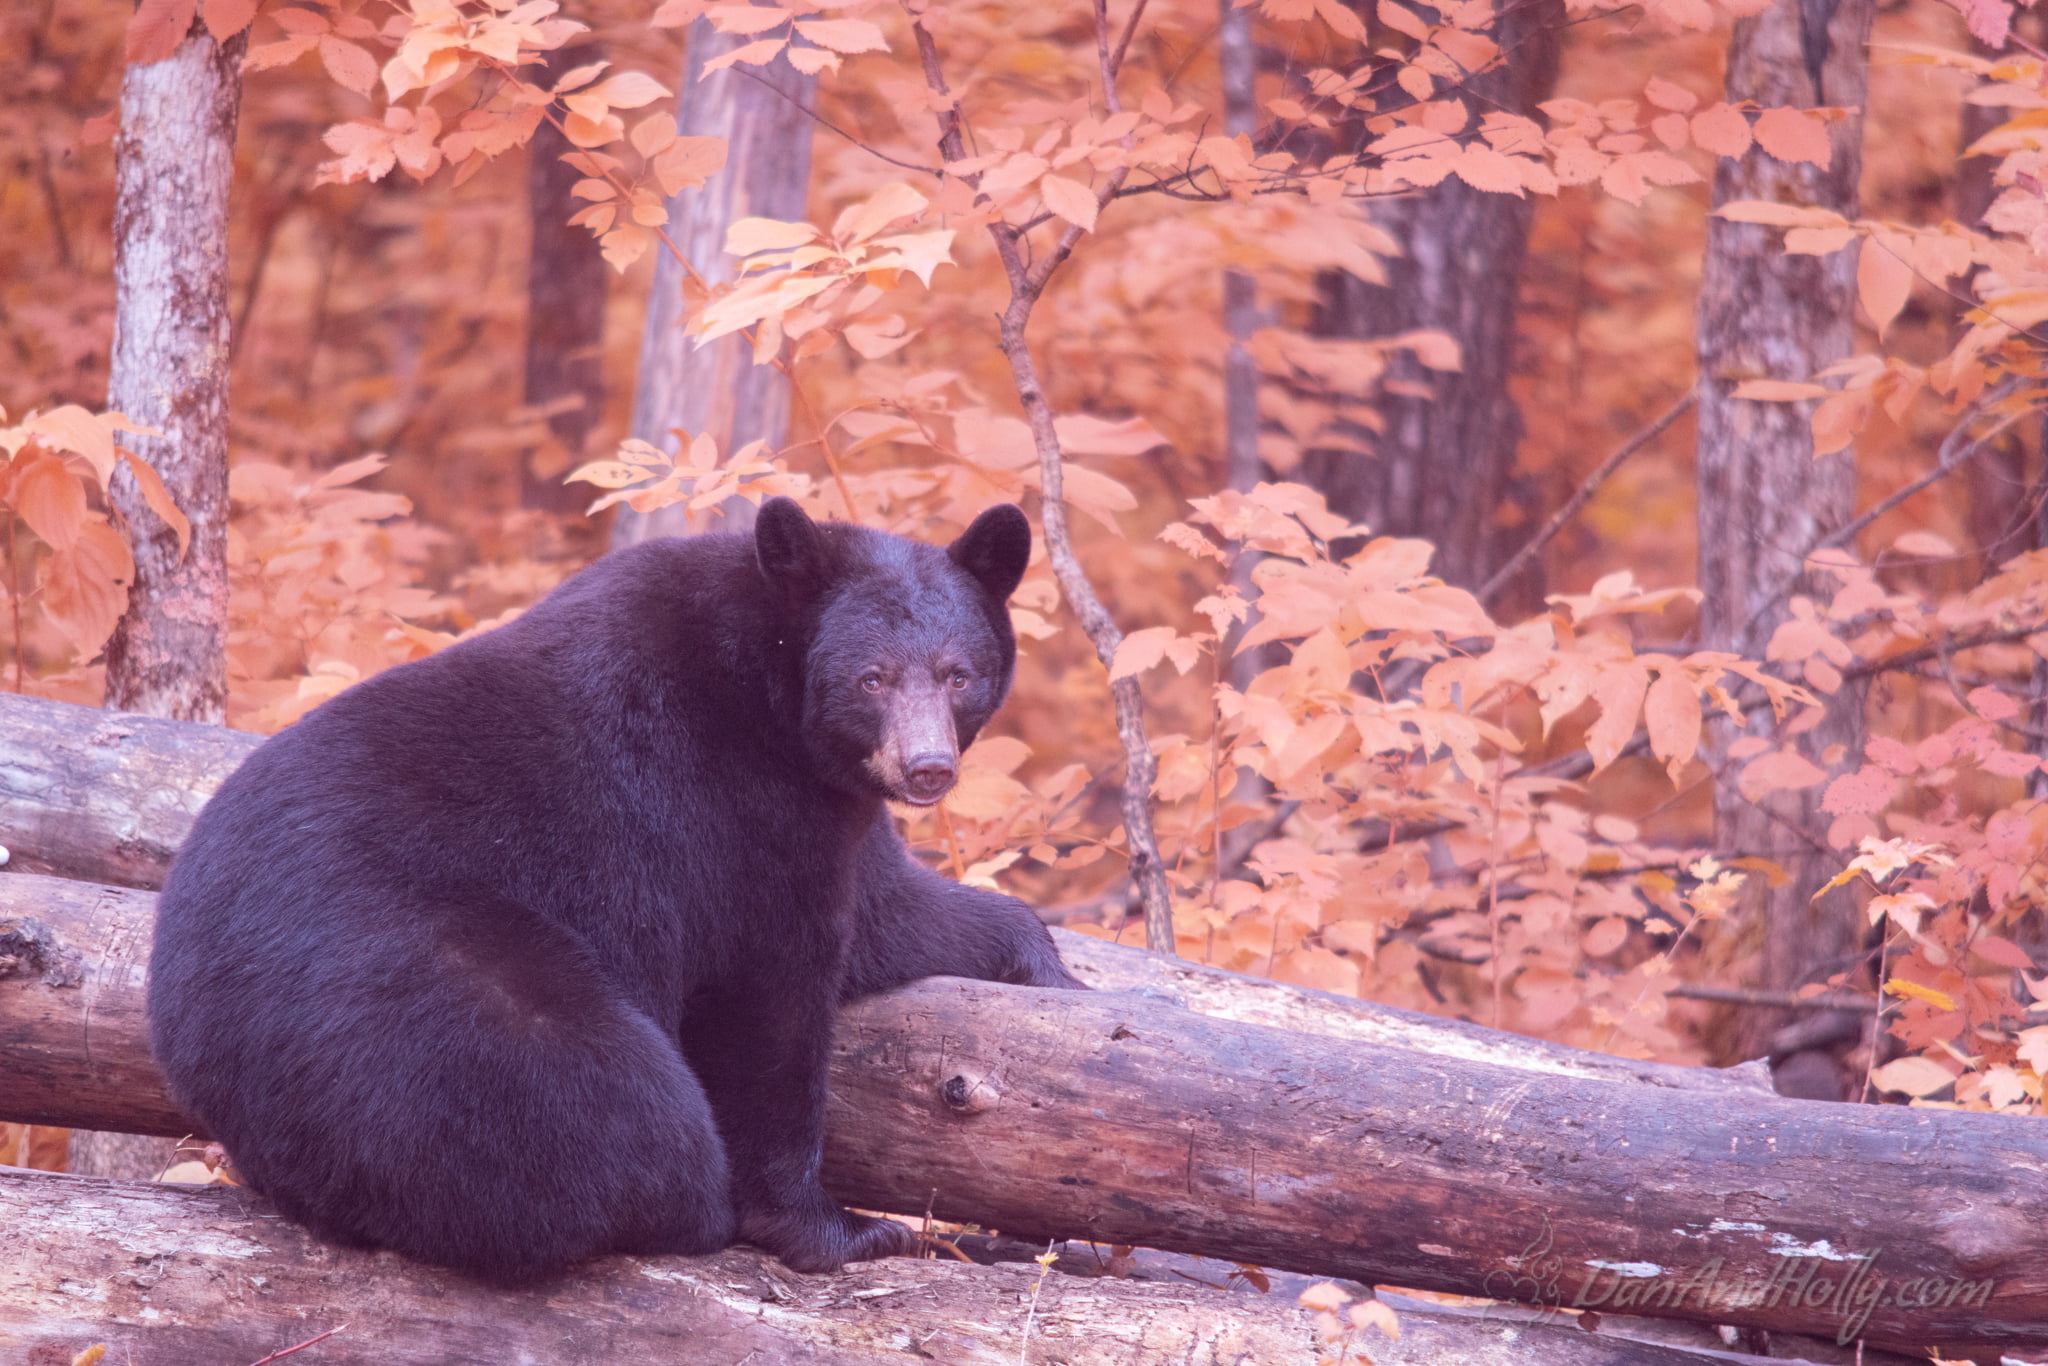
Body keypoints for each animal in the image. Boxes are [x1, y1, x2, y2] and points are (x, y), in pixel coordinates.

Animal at [149, 499, 1081, 1286]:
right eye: (873, 677)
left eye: (957, 673)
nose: (927, 767)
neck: (765, 685)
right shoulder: (729, 810)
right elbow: (768, 1000)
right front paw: (838, 1228)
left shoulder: (821, 806)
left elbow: (887, 916)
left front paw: (1050, 968)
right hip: (433, 1002)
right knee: (611, 1103)